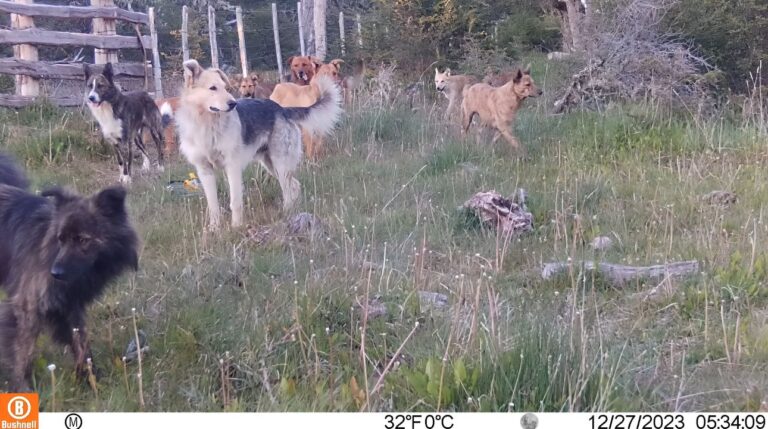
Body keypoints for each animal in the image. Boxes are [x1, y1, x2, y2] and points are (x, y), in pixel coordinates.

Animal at [0, 154, 140, 392]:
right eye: (61, 239)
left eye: (82, 240)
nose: (55, 273)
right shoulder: (28, 306)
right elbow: (23, 354)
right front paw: (23, 389)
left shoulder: (70, 306)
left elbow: (82, 345)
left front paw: (92, 381)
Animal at [177, 59, 342, 231]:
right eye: (213, 88)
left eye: (226, 88)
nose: (233, 104)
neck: (208, 125)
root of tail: (283, 109)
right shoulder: (205, 171)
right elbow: (213, 205)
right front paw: (214, 229)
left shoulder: (232, 167)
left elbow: (235, 201)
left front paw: (236, 227)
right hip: (271, 165)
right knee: (295, 185)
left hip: (280, 164)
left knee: (288, 189)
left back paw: (286, 214)